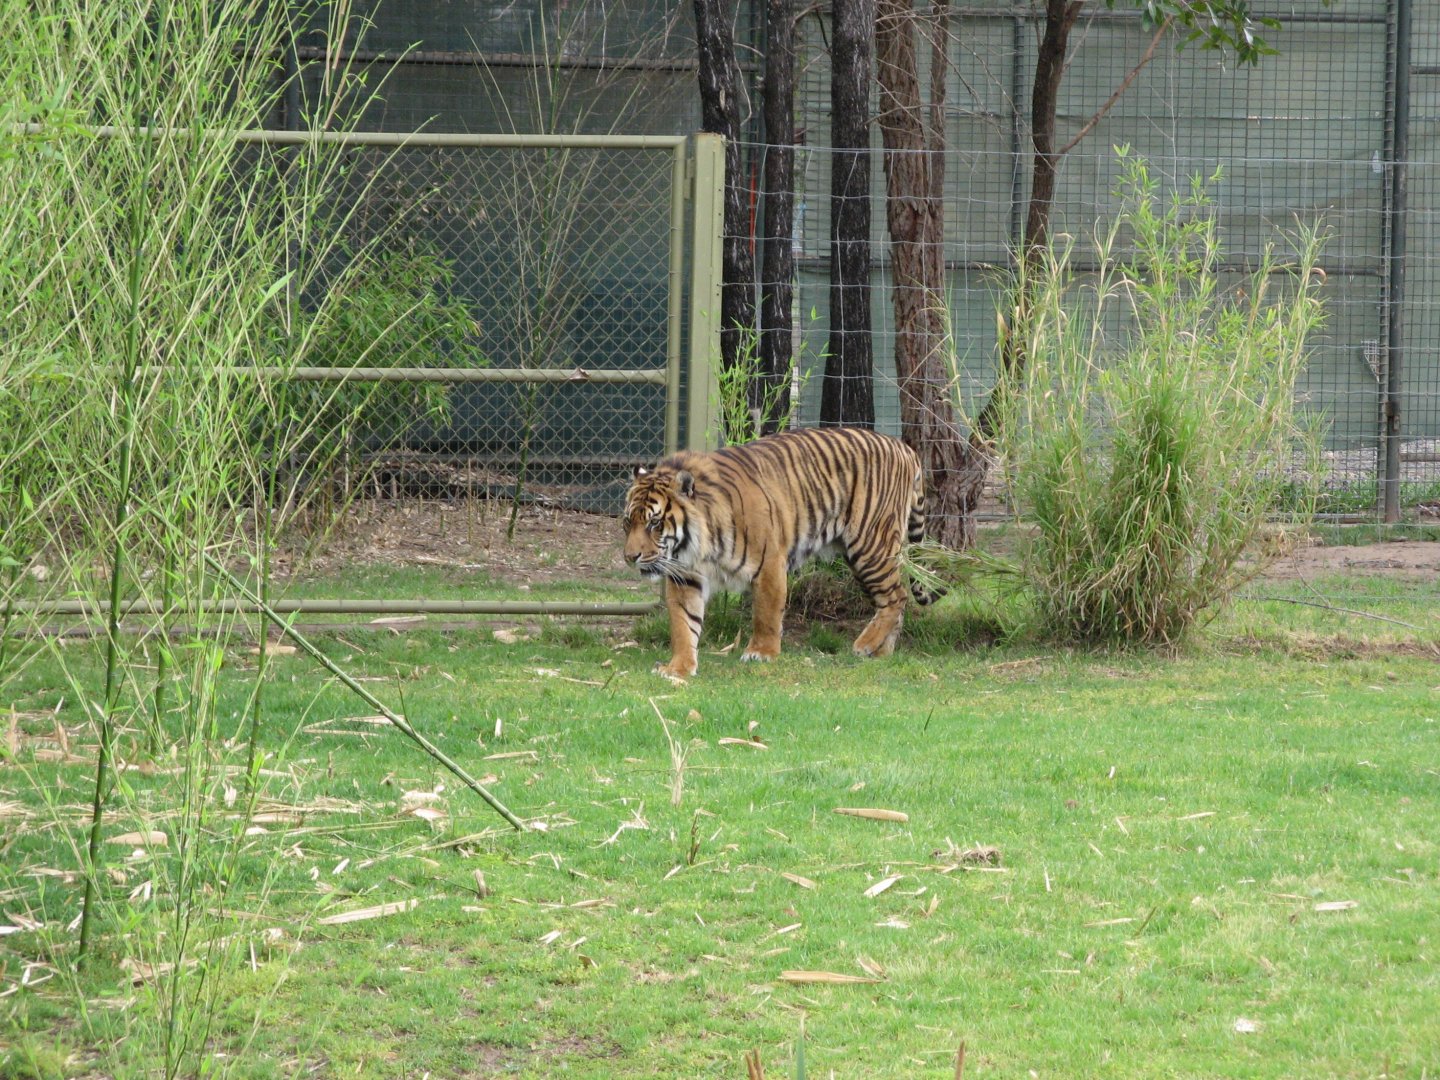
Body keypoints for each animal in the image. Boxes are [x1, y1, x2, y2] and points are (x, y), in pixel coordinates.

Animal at [622, 426, 938, 678]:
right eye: (628, 522)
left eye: (654, 523)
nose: (630, 557)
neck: (697, 545)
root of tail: (903, 447)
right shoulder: (685, 575)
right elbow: (683, 624)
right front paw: (678, 668)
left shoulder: (769, 562)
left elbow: (766, 612)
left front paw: (761, 653)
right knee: (894, 597)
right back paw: (882, 652)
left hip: (871, 545)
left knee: (897, 596)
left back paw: (865, 645)